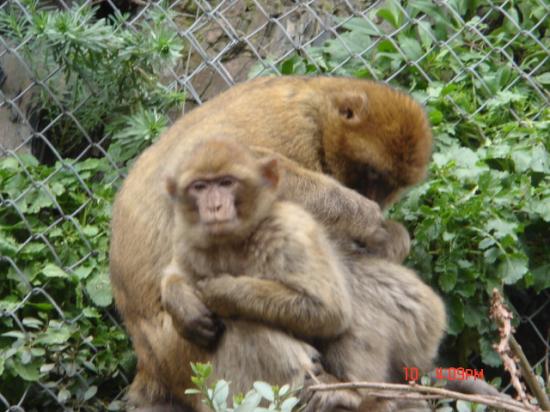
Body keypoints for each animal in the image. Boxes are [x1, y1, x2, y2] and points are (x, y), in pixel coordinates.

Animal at [158, 139, 362, 412]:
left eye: (226, 182)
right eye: (199, 187)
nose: (214, 206)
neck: (233, 241)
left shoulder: (290, 230)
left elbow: (329, 311)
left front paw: (223, 292)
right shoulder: (186, 239)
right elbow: (175, 272)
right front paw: (183, 307)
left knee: (243, 324)